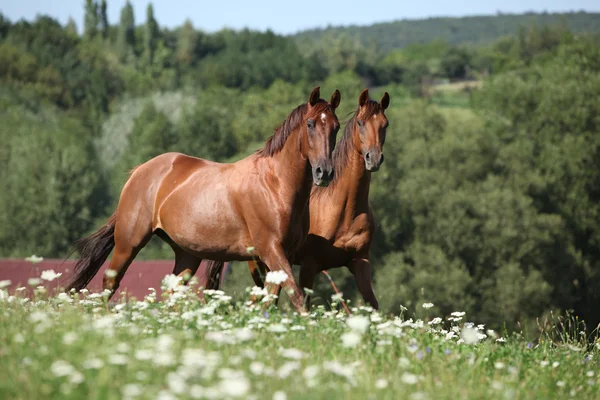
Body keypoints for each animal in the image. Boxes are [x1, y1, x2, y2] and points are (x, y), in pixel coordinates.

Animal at [199, 90, 392, 310]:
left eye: (385, 124)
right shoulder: (309, 265)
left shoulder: (360, 262)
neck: (345, 210)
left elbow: (373, 305)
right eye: (360, 123)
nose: (373, 158)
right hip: (261, 264)